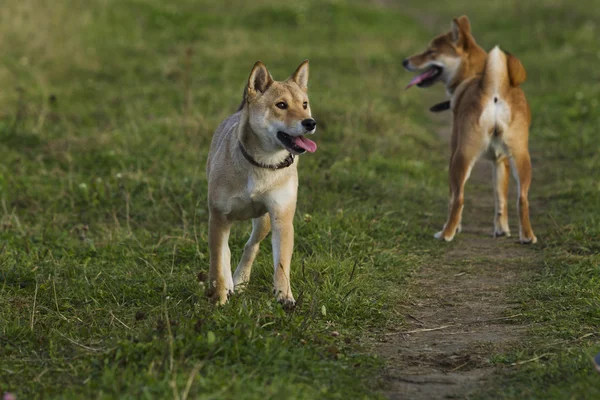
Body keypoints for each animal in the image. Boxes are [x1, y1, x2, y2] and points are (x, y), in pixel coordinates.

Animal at [205, 59, 318, 304]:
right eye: (281, 105)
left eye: (304, 104)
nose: (310, 122)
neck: (262, 163)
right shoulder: (219, 216)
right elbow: (218, 261)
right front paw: (219, 295)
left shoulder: (281, 216)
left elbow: (282, 262)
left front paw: (284, 295)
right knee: (226, 252)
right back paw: (229, 284)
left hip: (263, 221)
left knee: (251, 246)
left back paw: (240, 281)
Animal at [404, 15, 540, 244]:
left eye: (431, 52)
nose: (405, 61)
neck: (473, 75)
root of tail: (493, 90)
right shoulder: (500, 161)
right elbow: (501, 199)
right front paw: (502, 230)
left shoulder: (453, 153)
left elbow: (452, 199)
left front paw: (453, 227)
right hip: (521, 157)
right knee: (522, 199)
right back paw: (528, 236)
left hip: (462, 157)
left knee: (459, 198)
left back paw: (446, 234)